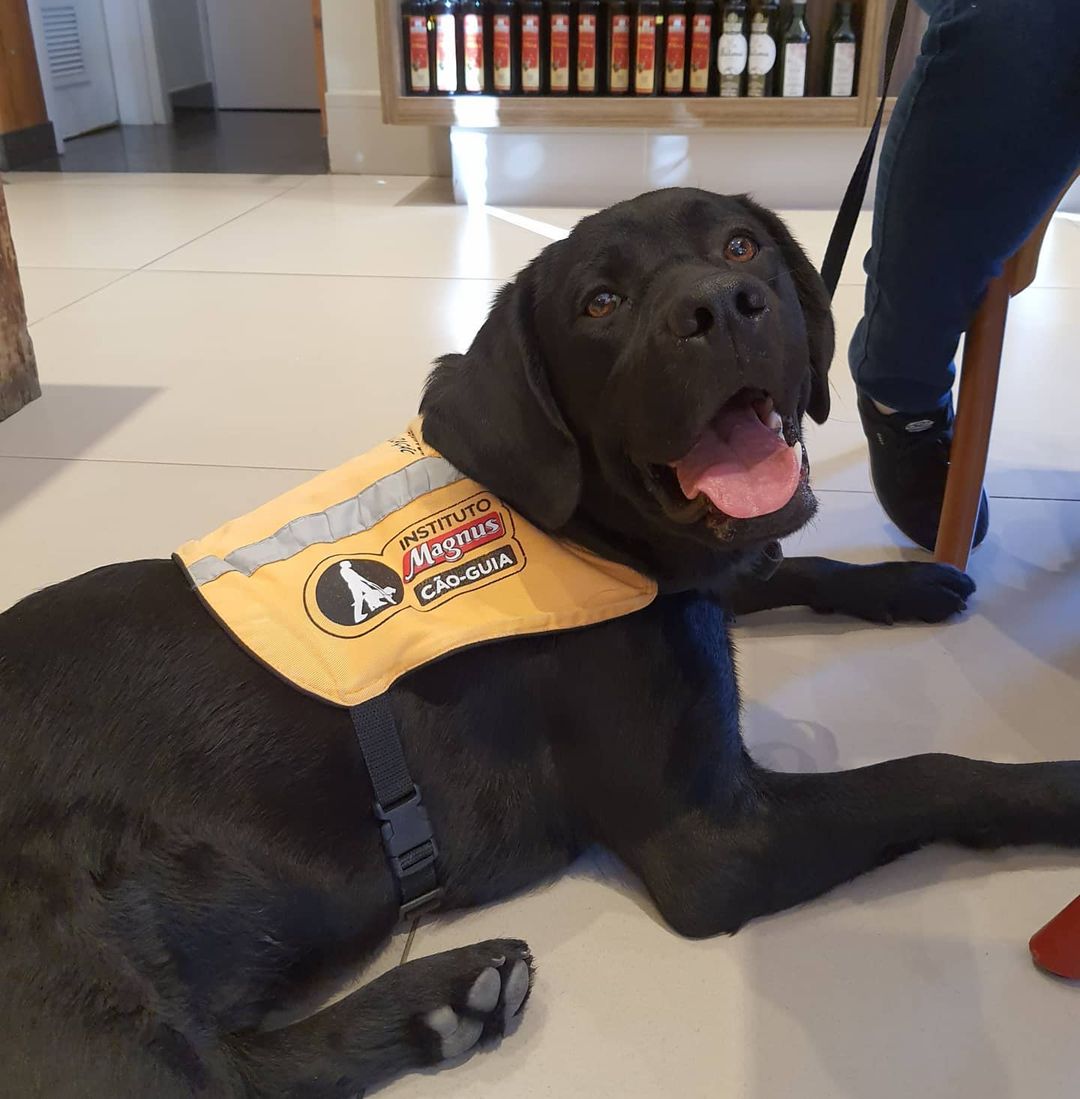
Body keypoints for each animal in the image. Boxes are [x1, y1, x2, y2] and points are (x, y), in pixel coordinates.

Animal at [4, 189, 1076, 1099]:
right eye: (600, 303)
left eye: (740, 245)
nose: (726, 307)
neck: (586, 529)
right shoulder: (717, 840)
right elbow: (932, 771)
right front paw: (1062, 786)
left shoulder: (703, 586)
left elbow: (776, 564)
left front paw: (905, 580)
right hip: (83, 970)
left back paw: (443, 1006)